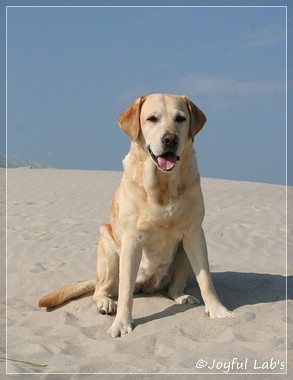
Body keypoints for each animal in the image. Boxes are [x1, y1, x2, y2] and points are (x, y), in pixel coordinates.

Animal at [38, 93, 233, 336]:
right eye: (152, 119)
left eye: (180, 118)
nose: (170, 139)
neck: (163, 187)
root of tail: (148, 285)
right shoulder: (132, 240)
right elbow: (125, 293)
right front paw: (122, 323)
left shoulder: (195, 234)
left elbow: (206, 278)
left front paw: (217, 310)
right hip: (108, 247)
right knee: (102, 290)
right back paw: (106, 303)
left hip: (182, 252)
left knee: (172, 288)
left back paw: (181, 296)